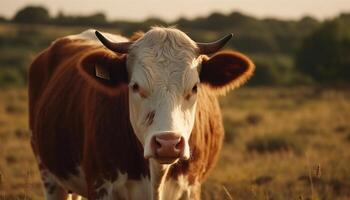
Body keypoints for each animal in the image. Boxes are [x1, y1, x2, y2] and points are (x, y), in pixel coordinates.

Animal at [28, 27, 254, 200]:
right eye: (135, 86)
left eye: (194, 87)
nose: (168, 143)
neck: (156, 176)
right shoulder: (100, 186)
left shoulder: (191, 188)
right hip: (49, 176)